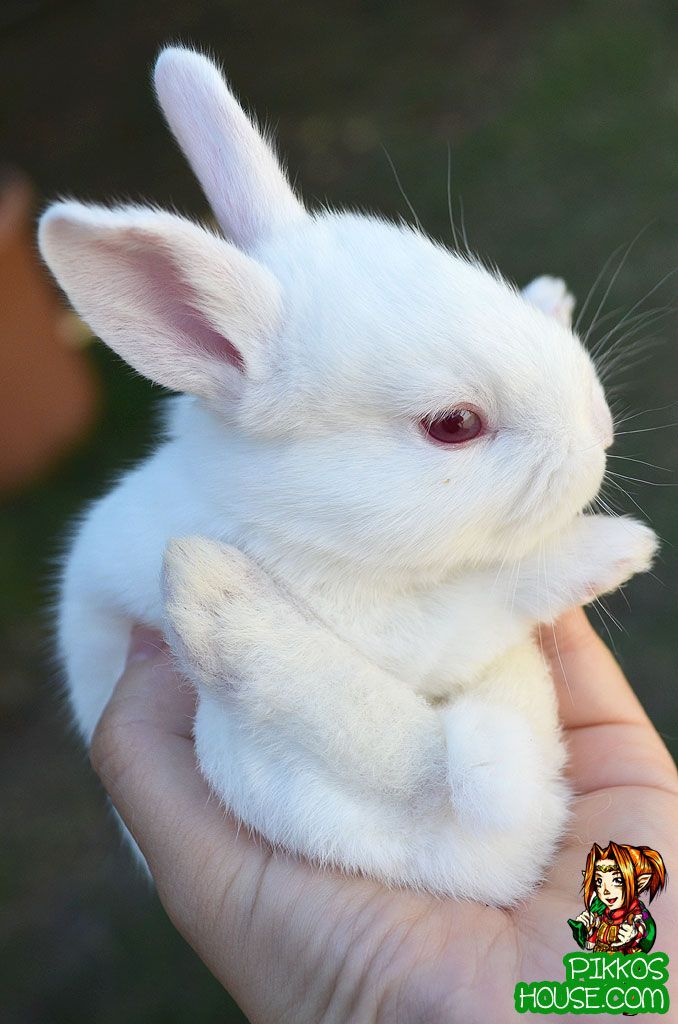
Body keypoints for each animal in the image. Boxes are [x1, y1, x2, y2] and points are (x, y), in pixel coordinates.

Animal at [38, 46, 659, 905]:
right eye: (453, 425)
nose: (599, 430)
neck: (276, 511)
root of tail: (497, 867)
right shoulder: (384, 625)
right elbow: (487, 599)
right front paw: (620, 547)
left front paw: (550, 299)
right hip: (247, 749)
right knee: (418, 767)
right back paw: (214, 599)